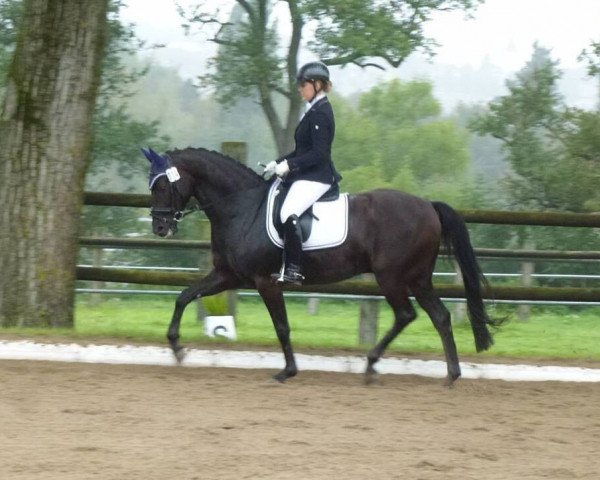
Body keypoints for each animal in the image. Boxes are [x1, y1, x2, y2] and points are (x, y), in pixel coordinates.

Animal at [143, 146, 500, 386]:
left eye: (162, 186)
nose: (160, 228)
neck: (243, 208)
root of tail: (427, 205)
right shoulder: (228, 275)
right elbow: (184, 296)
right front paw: (177, 347)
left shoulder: (265, 281)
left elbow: (282, 326)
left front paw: (287, 371)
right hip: (418, 278)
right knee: (439, 316)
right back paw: (450, 375)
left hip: (392, 277)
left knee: (406, 314)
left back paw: (372, 365)